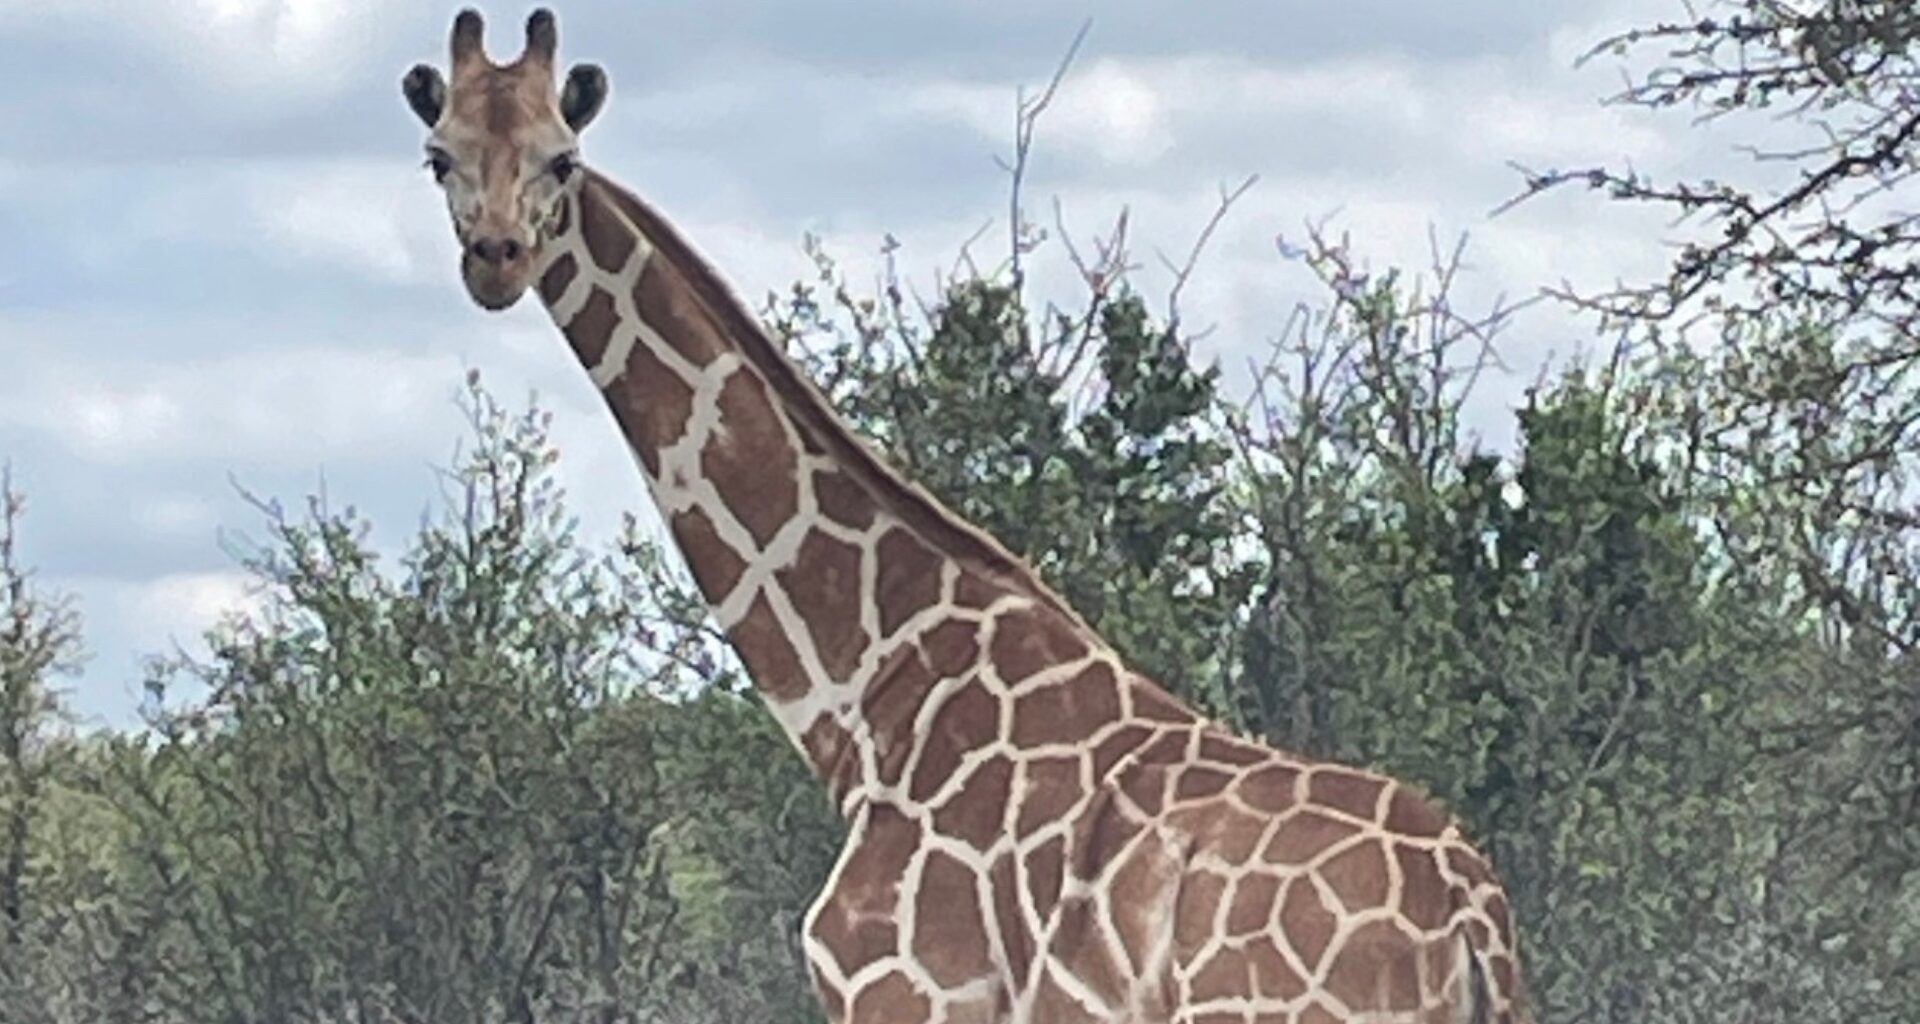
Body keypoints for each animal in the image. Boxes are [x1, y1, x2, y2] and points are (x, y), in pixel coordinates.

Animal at [400, 10, 1534, 1024]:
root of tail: (1471, 917)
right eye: (438, 155)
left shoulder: (901, 993)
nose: (497, 259)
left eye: (561, 161)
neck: (868, 695)